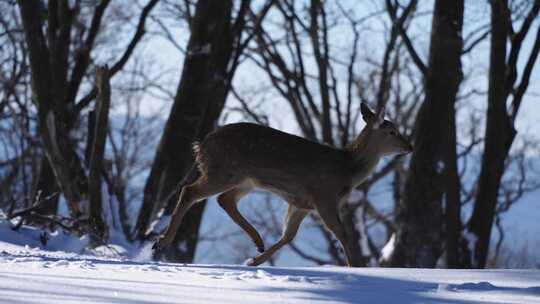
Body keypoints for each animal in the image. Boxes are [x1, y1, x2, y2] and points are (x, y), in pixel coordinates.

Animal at [152, 104, 414, 266]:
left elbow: (288, 235)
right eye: (393, 131)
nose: (410, 146)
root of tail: (200, 145)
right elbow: (342, 232)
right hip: (224, 171)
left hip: (246, 180)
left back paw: (257, 244)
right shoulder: (324, 196)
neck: (346, 170)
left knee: (224, 199)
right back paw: (161, 242)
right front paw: (355, 267)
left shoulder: (302, 204)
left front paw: (253, 262)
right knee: (191, 191)